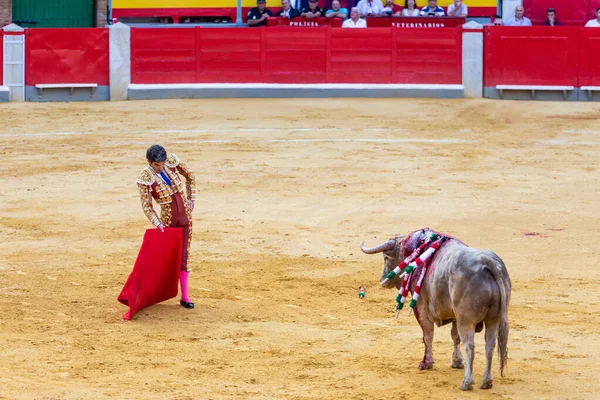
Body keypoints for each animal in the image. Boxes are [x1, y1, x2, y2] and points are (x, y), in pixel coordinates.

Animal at [360, 230, 510, 390]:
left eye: (386, 258)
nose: (382, 280)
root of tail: (487, 262)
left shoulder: (421, 310)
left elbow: (427, 336)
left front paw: (426, 363)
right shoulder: (455, 316)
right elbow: (454, 336)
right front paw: (457, 362)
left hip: (466, 321)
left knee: (470, 346)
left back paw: (467, 382)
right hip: (493, 319)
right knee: (490, 345)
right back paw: (487, 381)